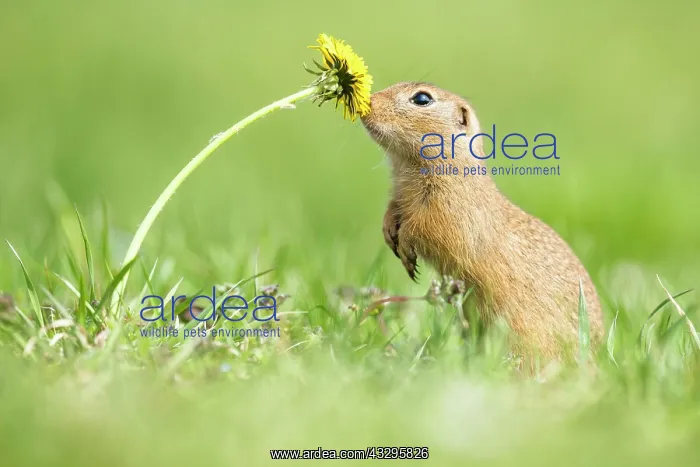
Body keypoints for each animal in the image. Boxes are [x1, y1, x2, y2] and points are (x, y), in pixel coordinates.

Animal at [360, 82, 603, 359]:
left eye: (422, 98)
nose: (366, 104)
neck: (408, 167)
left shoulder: (450, 209)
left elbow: (429, 229)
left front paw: (407, 249)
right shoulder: (399, 195)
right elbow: (393, 210)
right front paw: (389, 231)